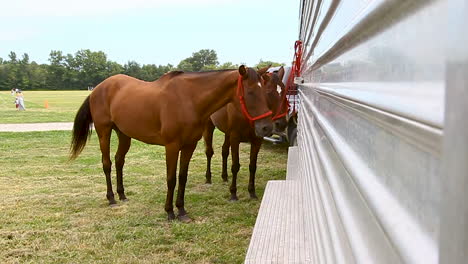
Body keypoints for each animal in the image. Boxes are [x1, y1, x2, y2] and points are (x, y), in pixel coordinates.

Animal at [71, 65, 272, 222]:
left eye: (265, 92)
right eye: (251, 92)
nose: (266, 127)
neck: (189, 99)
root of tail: (98, 88)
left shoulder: (189, 146)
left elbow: (182, 177)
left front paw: (181, 211)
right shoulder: (172, 146)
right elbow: (171, 179)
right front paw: (169, 212)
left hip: (124, 135)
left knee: (119, 161)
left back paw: (122, 195)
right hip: (104, 132)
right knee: (107, 163)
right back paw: (112, 198)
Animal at [203, 66, 288, 200]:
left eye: (284, 91)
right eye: (268, 91)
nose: (282, 123)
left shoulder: (257, 140)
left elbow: (252, 166)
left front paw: (252, 192)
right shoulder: (235, 138)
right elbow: (235, 166)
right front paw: (233, 193)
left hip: (227, 133)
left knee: (224, 151)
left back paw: (224, 176)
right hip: (209, 127)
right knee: (209, 152)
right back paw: (208, 178)